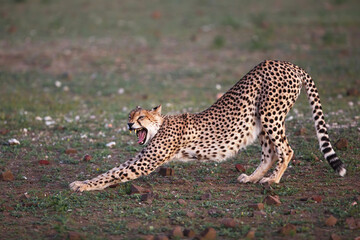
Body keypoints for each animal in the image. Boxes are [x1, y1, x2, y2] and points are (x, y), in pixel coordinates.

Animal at [69, 61, 344, 192]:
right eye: (129, 115)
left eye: (141, 118)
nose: (128, 124)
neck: (160, 125)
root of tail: (288, 63)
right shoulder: (142, 155)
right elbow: (112, 170)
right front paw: (81, 181)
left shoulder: (146, 161)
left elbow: (117, 173)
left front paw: (82, 186)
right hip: (261, 119)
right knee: (270, 153)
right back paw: (252, 178)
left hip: (270, 114)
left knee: (286, 150)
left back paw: (272, 180)